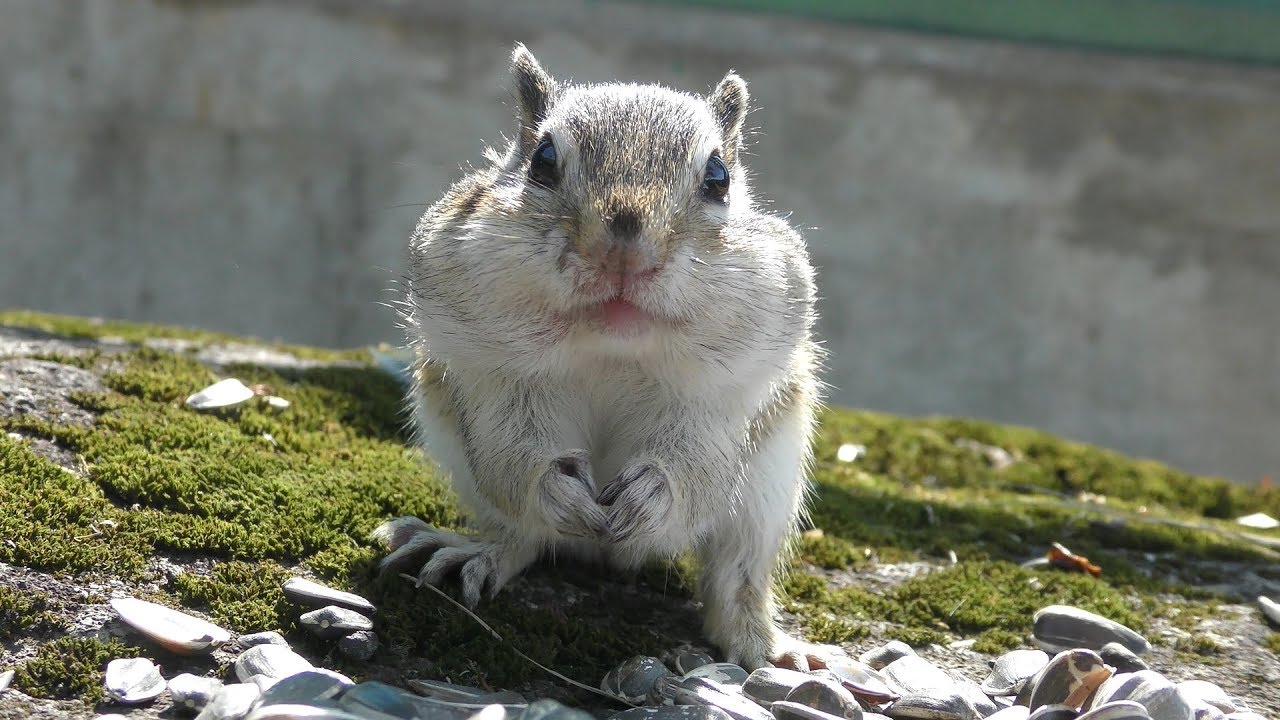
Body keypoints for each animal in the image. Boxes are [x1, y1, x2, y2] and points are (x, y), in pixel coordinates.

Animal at [373, 43, 839, 672]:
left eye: (718, 177)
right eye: (543, 160)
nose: (624, 250)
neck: (610, 344)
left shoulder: (719, 395)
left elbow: (696, 468)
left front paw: (656, 494)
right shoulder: (498, 378)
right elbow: (514, 454)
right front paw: (555, 489)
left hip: (768, 491)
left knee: (735, 575)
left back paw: (760, 644)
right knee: (524, 535)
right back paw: (481, 550)